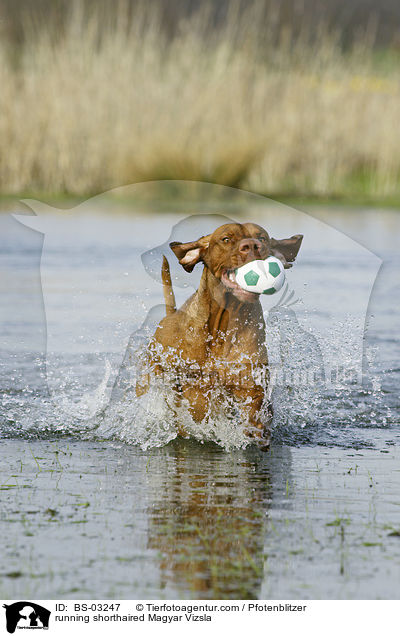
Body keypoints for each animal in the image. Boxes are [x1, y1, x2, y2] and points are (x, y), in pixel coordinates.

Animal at [138, 222, 304, 448]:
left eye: (262, 238)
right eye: (226, 239)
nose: (252, 246)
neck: (221, 327)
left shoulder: (250, 380)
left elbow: (256, 403)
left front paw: (258, 428)